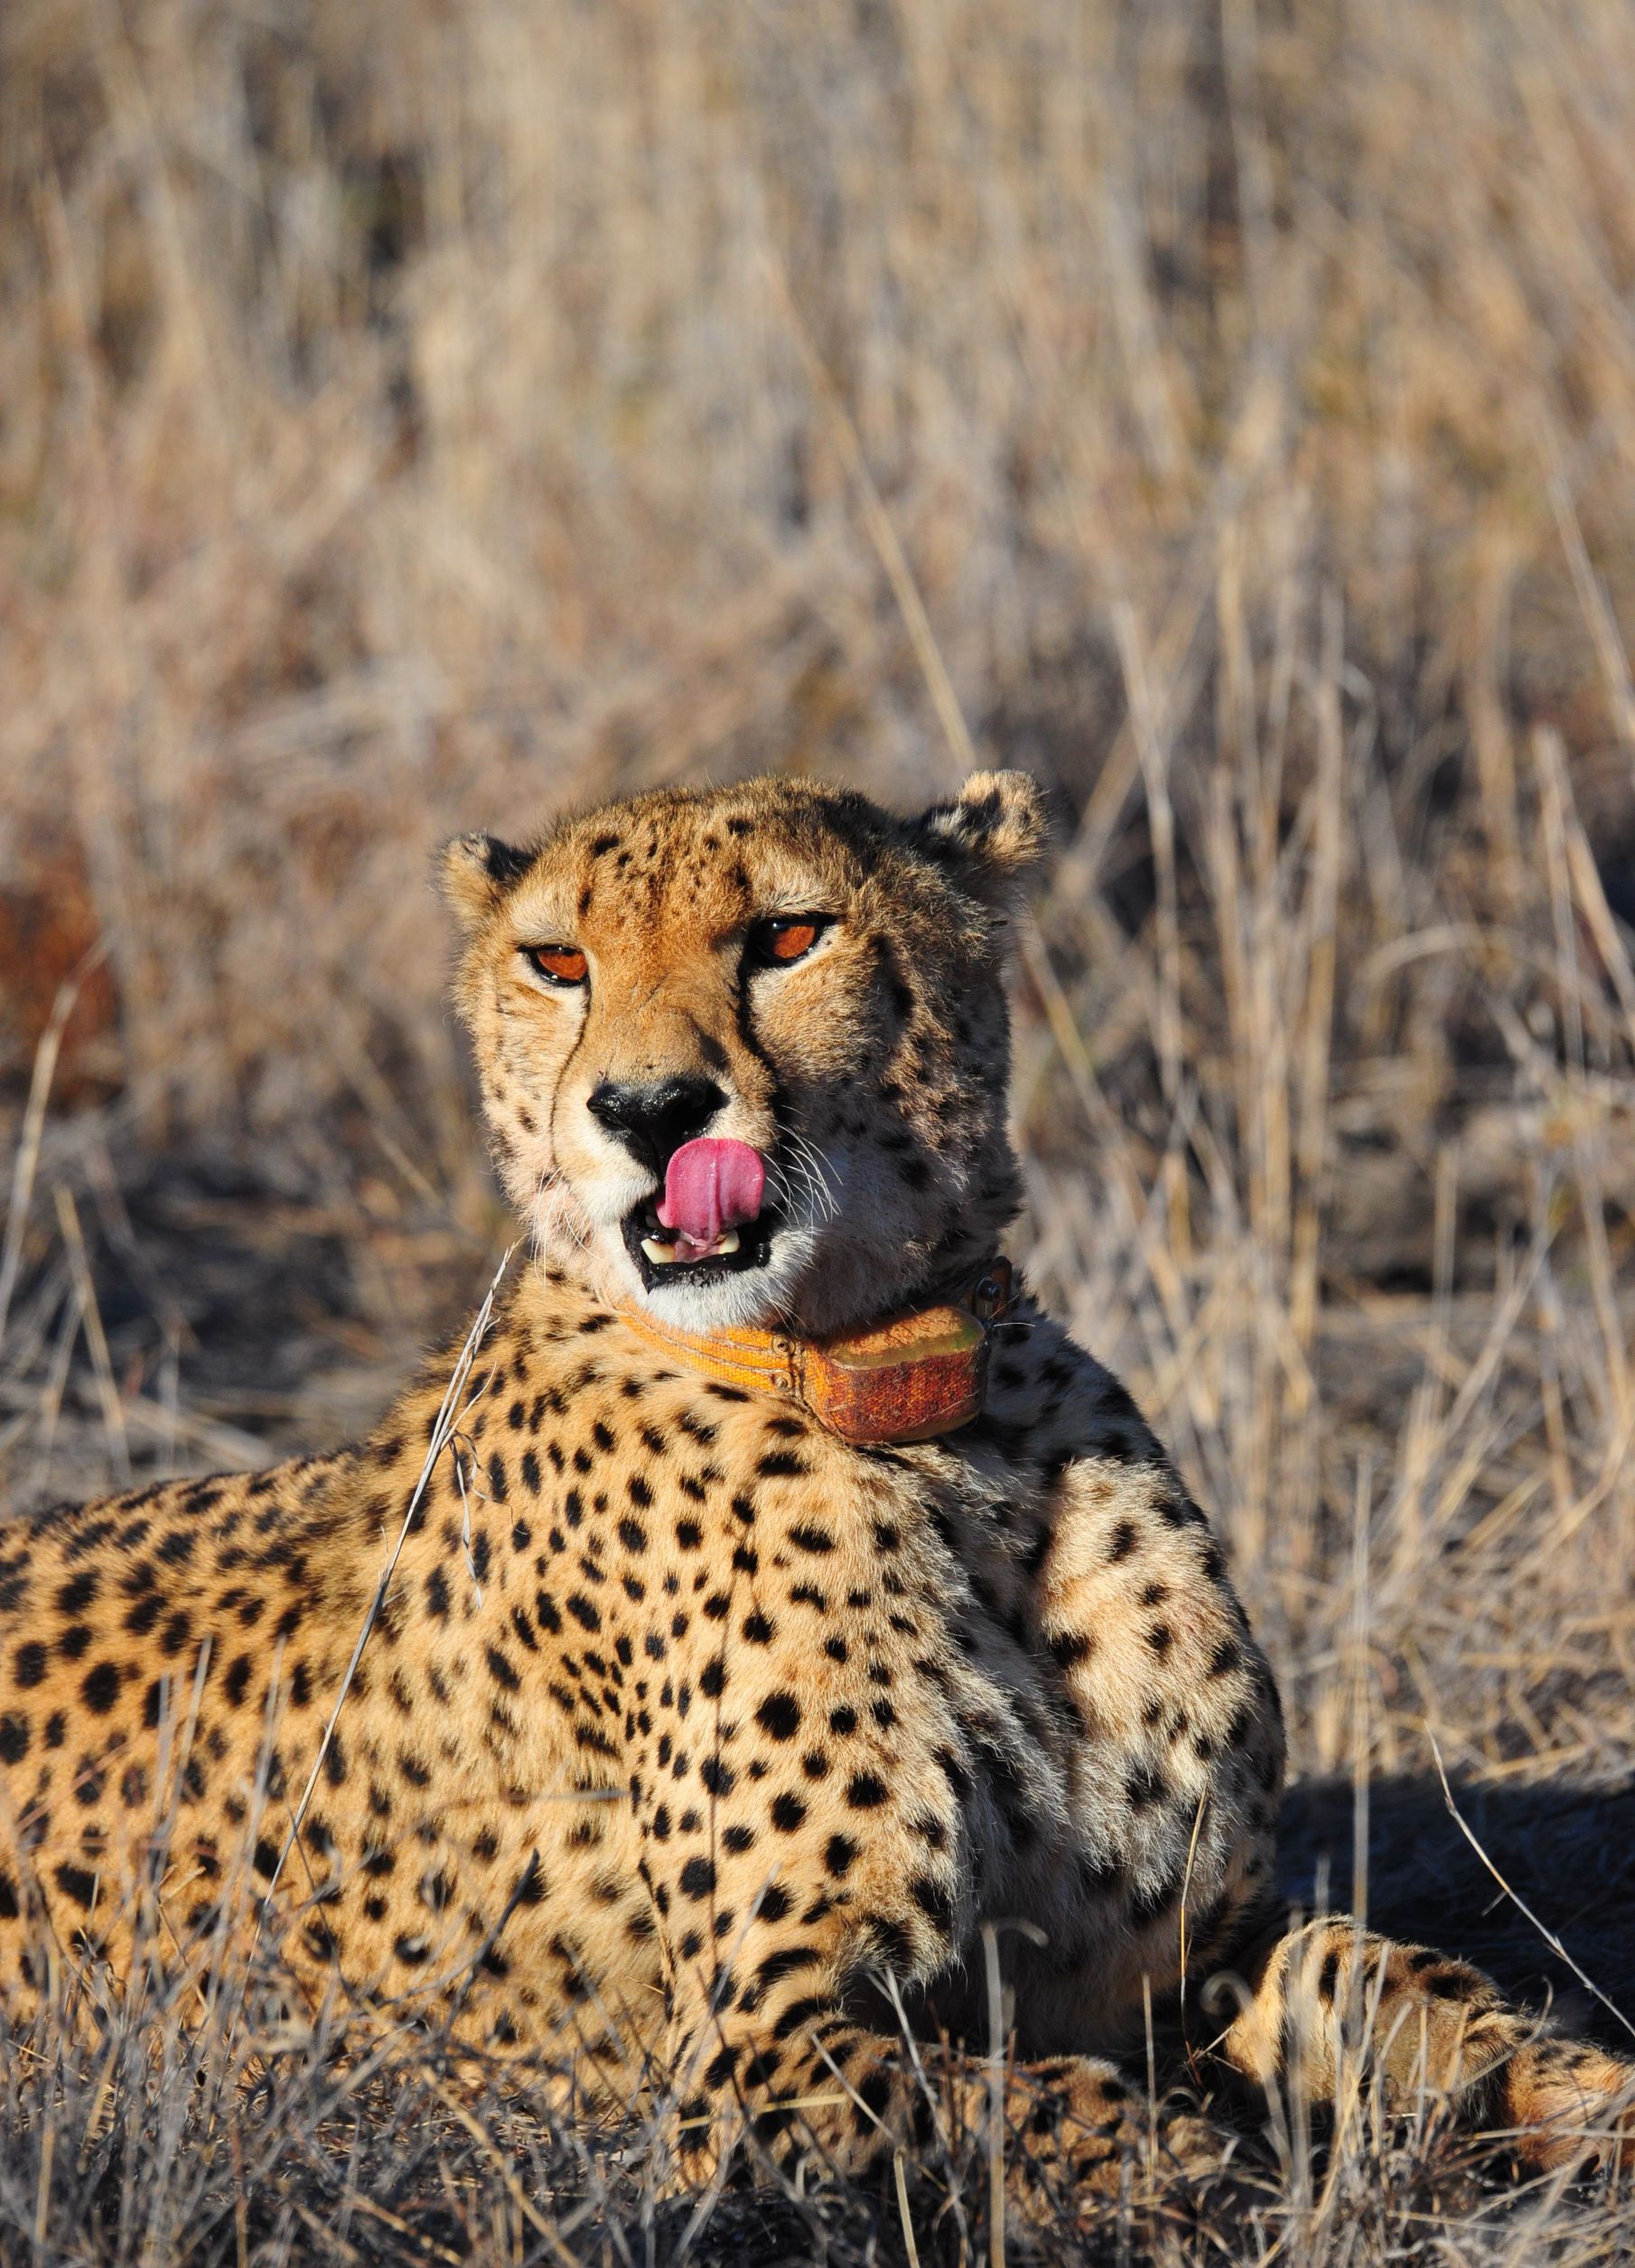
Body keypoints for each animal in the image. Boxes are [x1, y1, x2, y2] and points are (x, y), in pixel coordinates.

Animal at [0, 768, 1629, 2221]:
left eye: (787, 935)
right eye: (558, 961)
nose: (650, 1109)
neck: (919, 1417)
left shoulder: (1179, 1941)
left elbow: (1396, 1971)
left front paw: (1565, 2092)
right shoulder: (749, 2048)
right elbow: (1037, 2110)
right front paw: (1214, 2174)